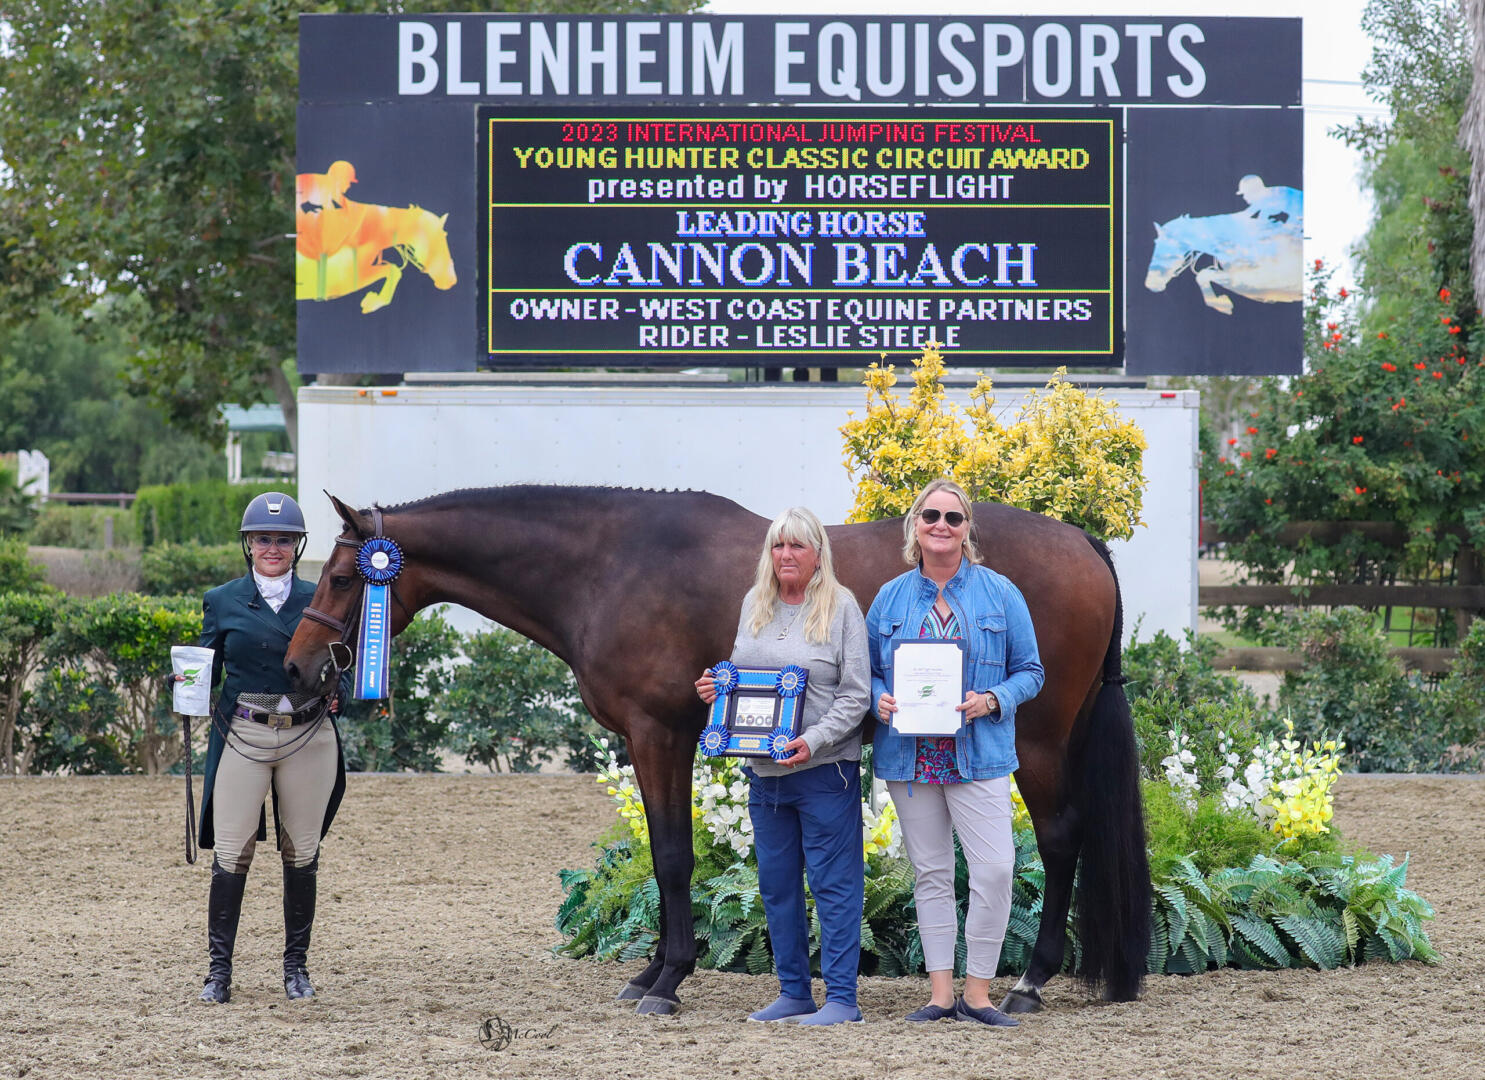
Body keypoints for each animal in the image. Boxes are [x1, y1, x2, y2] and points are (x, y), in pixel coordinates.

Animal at [283, 487, 1152, 1016]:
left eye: (341, 578)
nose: (297, 668)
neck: (608, 566)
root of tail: (1080, 540)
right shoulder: (655, 737)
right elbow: (668, 852)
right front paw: (650, 971)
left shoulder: (657, 733)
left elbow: (673, 856)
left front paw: (666, 980)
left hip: (1036, 740)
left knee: (1059, 840)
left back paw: (1029, 983)